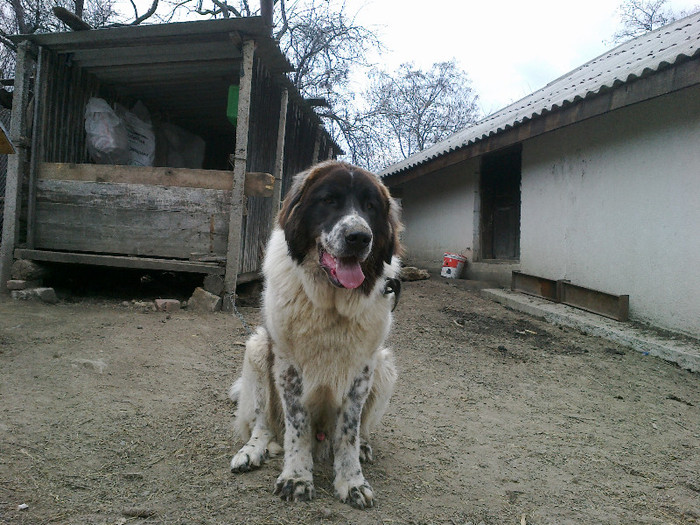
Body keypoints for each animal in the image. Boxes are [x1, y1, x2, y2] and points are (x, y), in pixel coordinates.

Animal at [230, 161, 402, 508]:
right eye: (329, 201)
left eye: (371, 207)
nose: (359, 237)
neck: (330, 304)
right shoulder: (287, 366)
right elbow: (297, 426)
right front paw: (296, 477)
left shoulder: (363, 368)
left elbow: (349, 432)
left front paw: (352, 481)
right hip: (257, 350)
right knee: (262, 424)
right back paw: (251, 451)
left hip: (385, 365)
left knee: (358, 430)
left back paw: (363, 447)